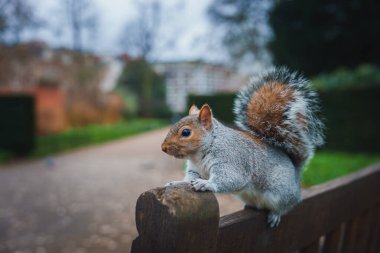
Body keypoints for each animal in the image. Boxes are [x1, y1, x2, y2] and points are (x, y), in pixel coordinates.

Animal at [162, 67, 326, 227]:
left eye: (186, 132)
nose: (163, 148)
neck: (199, 154)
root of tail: (296, 177)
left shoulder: (231, 160)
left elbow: (231, 178)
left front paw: (206, 184)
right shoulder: (194, 169)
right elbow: (189, 178)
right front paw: (176, 182)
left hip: (282, 193)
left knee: (286, 206)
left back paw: (276, 214)